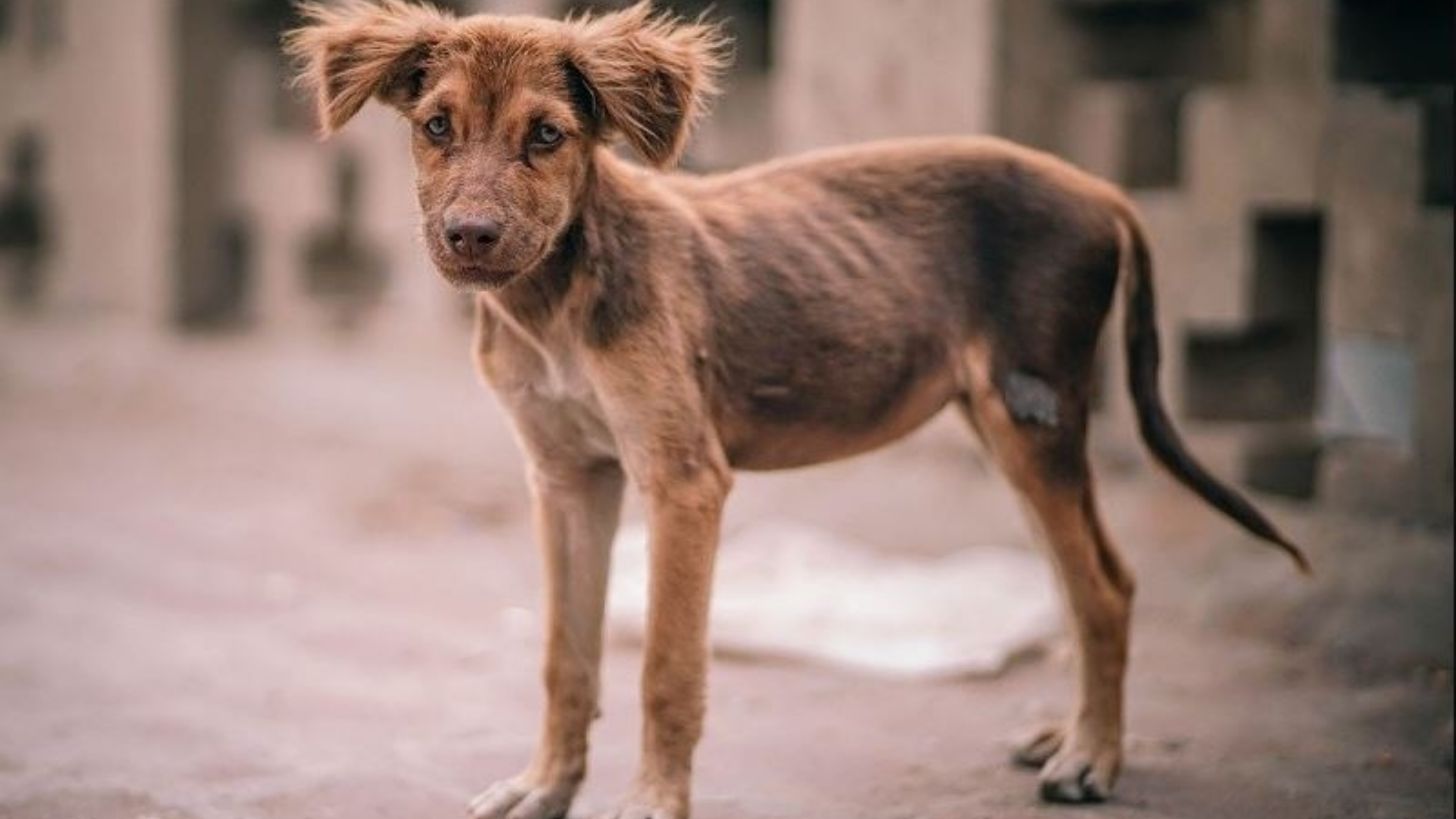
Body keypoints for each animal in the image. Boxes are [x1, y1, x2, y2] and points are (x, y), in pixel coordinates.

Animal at [287, 2, 1308, 815]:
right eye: (436, 126)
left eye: (546, 137)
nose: (470, 237)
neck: (556, 304)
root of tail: (1100, 189)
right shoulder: (567, 478)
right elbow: (563, 656)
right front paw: (544, 786)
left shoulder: (684, 479)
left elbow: (665, 666)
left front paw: (651, 800)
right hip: (1003, 423)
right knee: (1081, 573)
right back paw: (1069, 733)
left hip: (1036, 413)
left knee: (1105, 585)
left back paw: (1093, 757)